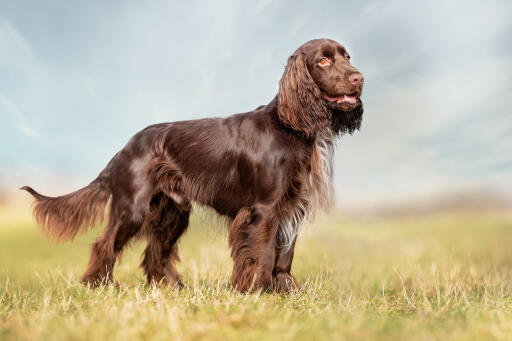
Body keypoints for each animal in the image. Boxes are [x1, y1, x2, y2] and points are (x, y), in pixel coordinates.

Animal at [21, 38, 364, 290]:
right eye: (323, 61)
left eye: (347, 56)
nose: (359, 78)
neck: (290, 125)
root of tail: (125, 148)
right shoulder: (264, 209)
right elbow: (264, 252)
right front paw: (259, 290)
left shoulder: (292, 205)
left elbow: (285, 255)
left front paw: (286, 291)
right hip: (133, 208)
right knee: (104, 243)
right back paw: (99, 284)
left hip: (172, 212)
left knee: (154, 252)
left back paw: (171, 287)